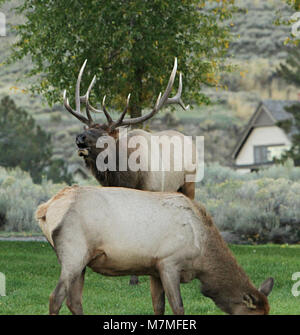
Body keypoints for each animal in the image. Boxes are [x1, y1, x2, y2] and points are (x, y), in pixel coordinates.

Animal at [35, 186, 274, 316]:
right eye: (255, 315)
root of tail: (45, 209)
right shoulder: (169, 263)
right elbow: (178, 307)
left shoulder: (154, 268)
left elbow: (158, 307)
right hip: (73, 254)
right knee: (56, 297)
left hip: (82, 261)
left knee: (74, 301)